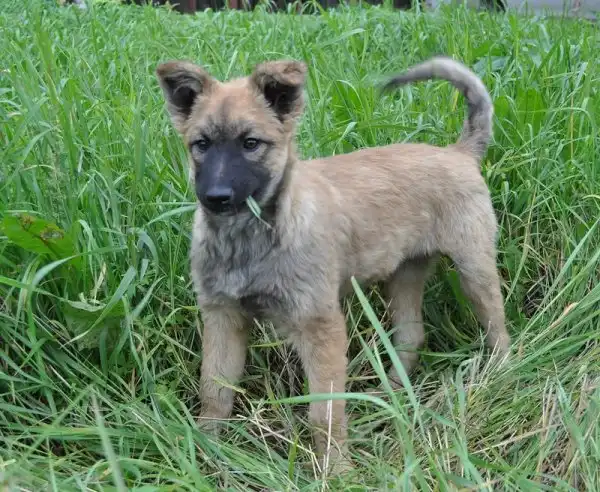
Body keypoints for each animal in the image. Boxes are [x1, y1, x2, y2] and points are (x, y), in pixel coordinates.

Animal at [155, 56, 511, 474]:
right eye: (201, 145)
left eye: (250, 144)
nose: (216, 198)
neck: (250, 239)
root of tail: (459, 153)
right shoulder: (222, 317)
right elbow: (215, 392)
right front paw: (205, 453)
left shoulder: (319, 325)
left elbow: (323, 413)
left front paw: (338, 472)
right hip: (404, 275)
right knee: (411, 336)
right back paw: (389, 395)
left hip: (474, 267)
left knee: (498, 330)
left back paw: (502, 375)